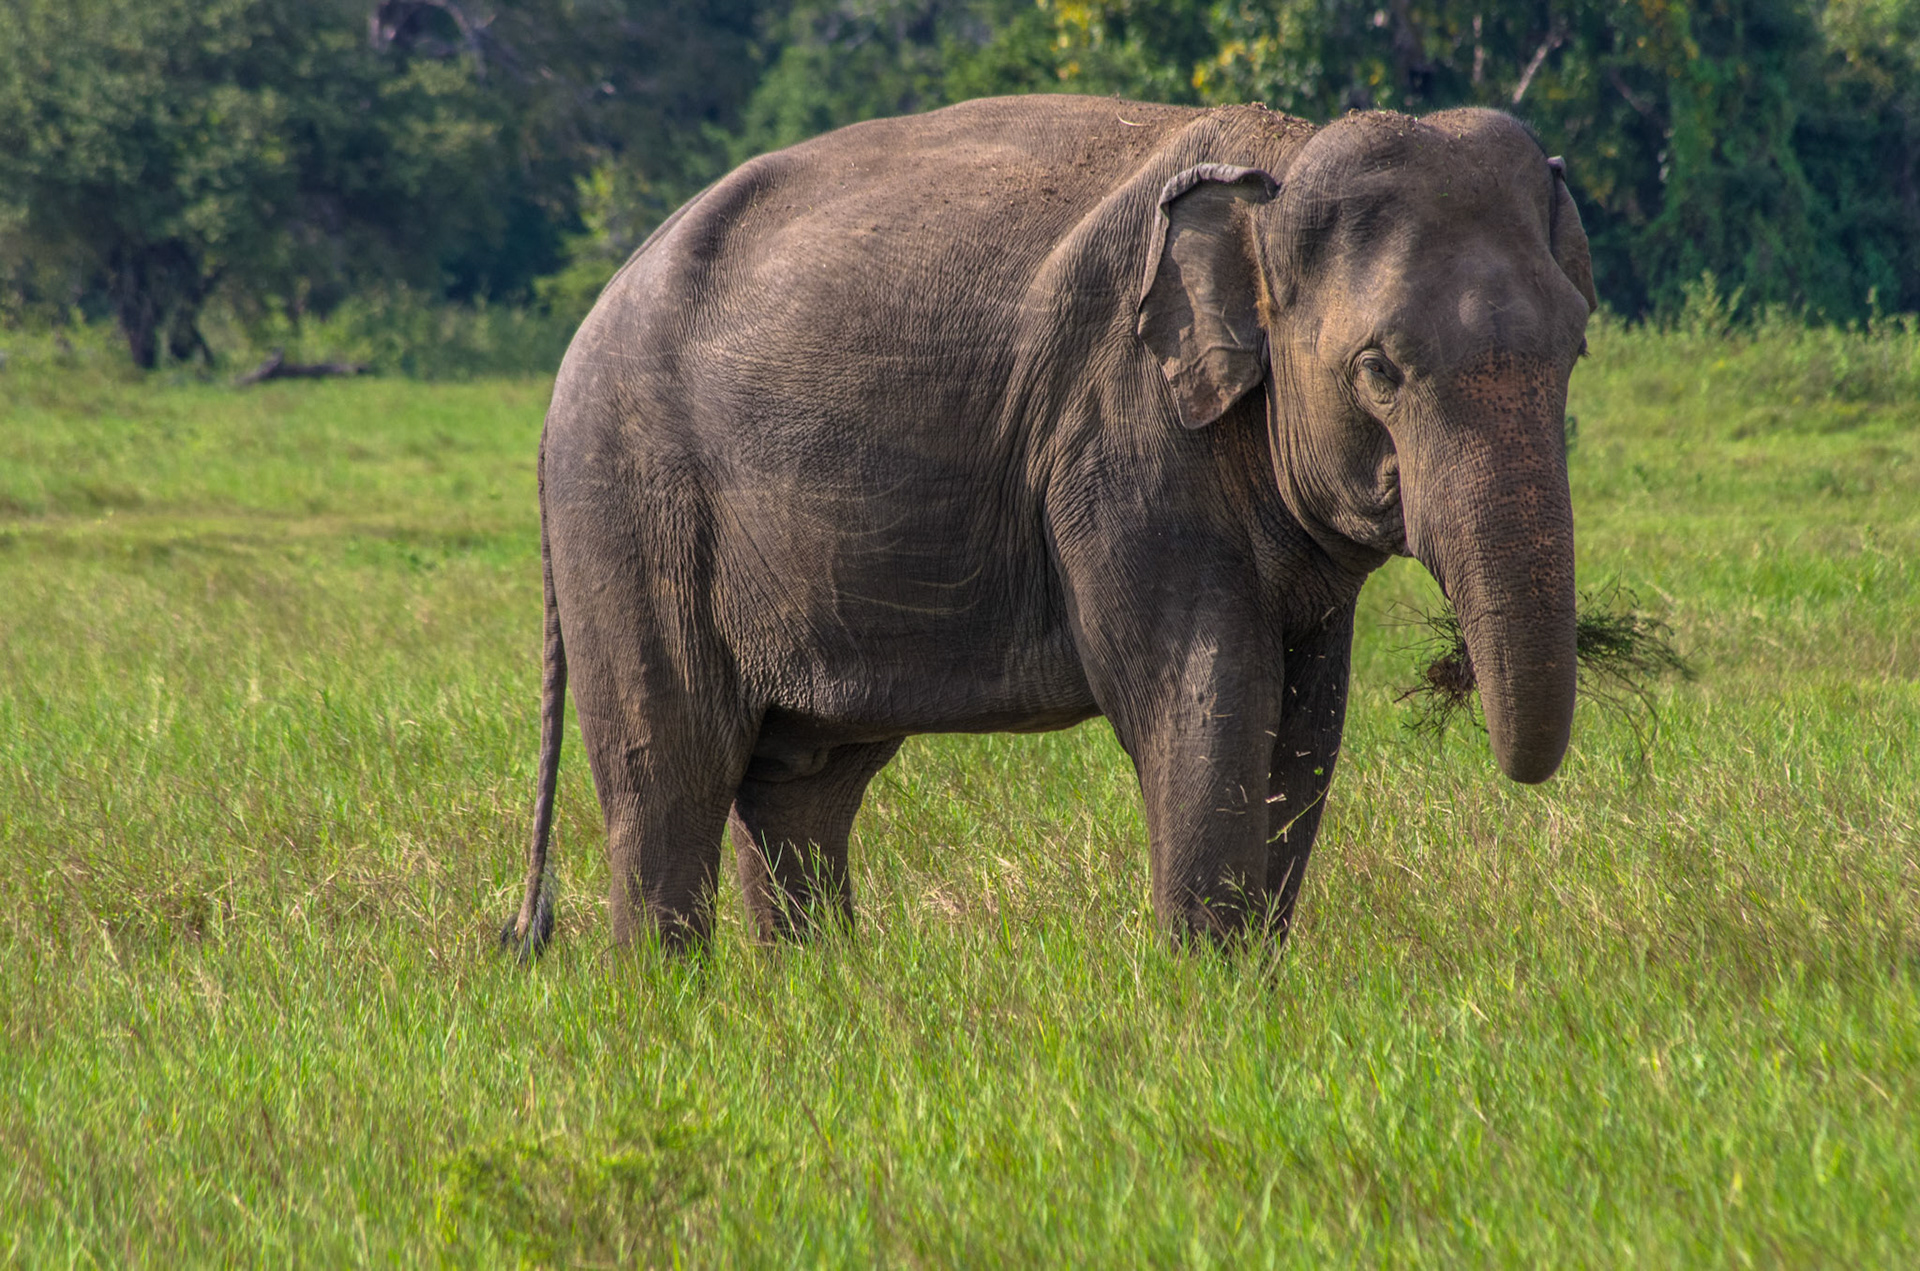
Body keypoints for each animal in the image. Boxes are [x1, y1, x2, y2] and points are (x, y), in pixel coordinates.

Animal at [501, 94, 1595, 956]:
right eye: (1378, 369)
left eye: (1575, 352)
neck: (1277, 159)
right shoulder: (1117, 441)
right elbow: (1201, 697)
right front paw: (1210, 1004)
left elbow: (1307, 725)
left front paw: (1257, 984)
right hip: (628, 505)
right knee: (668, 773)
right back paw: (667, 1003)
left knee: (800, 784)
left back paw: (815, 1001)